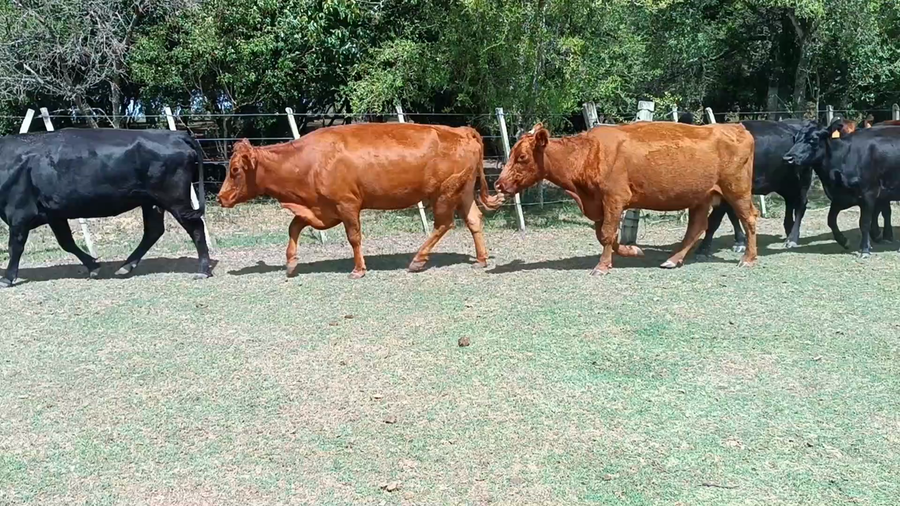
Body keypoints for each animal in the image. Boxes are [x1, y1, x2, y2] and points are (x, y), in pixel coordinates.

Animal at [0, 128, 212, 287]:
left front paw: (7, 278)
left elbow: (15, 246)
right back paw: (126, 266)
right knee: (154, 231)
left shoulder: (19, 213)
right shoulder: (54, 213)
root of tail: (176, 134)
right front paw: (93, 266)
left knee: (195, 227)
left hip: (175, 199)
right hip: (151, 202)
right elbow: (66, 242)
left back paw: (203, 270)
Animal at [216, 123, 504, 278]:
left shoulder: (347, 205)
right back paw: (481, 258)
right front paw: (290, 263)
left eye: (235, 170)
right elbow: (294, 226)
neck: (308, 162)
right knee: (474, 220)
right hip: (463, 192)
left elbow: (354, 237)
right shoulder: (321, 209)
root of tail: (461, 130)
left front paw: (358, 268)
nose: (220, 197)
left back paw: (417, 259)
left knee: (444, 224)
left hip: (444, 193)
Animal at [494, 122, 758, 274]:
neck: (589, 152)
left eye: (522, 157)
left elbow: (607, 234)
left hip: (737, 191)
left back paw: (748, 258)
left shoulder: (614, 199)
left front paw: (602, 267)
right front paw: (633, 250)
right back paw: (673, 260)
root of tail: (736, 127)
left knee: (749, 219)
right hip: (700, 197)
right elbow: (606, 236)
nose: (499, 184)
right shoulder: (599, 204)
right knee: (697, 227)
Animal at [696, 120, 816, 255]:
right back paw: (788, 232)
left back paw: (792, 239)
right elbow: (732, 215)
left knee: (801, 204)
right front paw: (740, 242)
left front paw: (703, 248)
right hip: (784, 184)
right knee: (790, 202)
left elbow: (714, 220)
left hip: (802, 181)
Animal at [783, 120, 900, 256]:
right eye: (795, 138)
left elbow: (864, 222)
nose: (787, 158)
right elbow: (831, 220)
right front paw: (843, 241)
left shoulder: (869, 193)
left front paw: (865, 249)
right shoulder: (840, 197)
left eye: (813, 139)